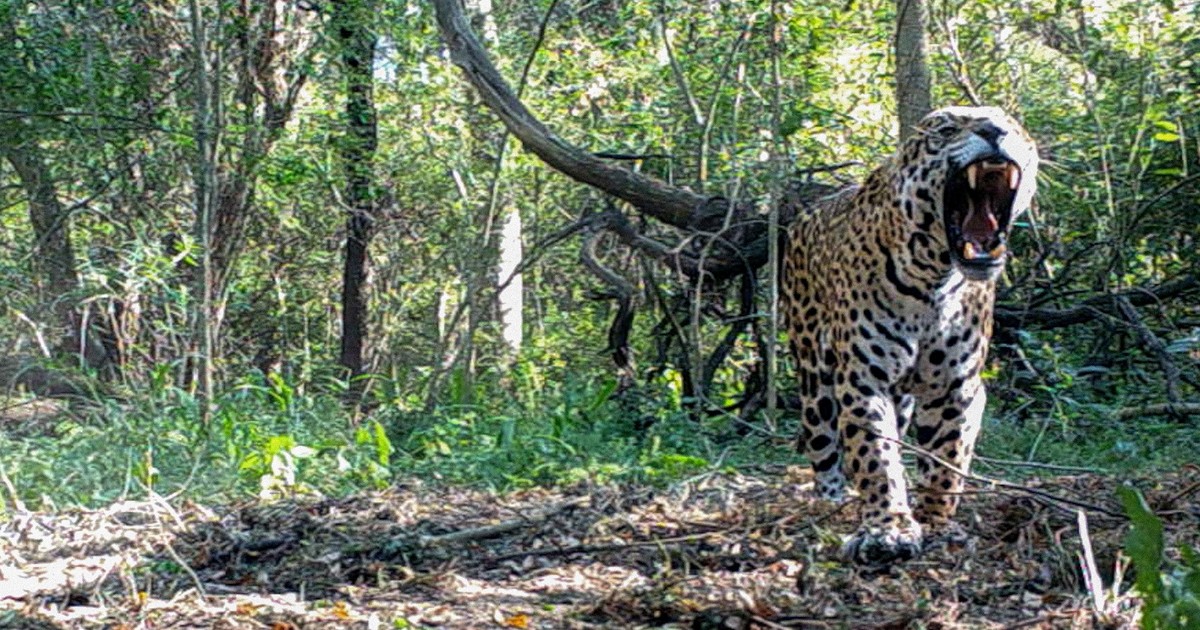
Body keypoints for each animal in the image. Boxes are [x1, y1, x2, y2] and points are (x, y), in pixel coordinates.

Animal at [781, 106, 1039, 565]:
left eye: (1013, 124)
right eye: (947, 129)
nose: (994, 131)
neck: (934, 276)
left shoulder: (958, 386)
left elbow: (947, 457)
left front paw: (935, 520)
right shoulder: (863, 381)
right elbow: (875, 458)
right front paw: (888, 530)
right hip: (815, 382)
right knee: (824, 447)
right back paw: (830, 503)